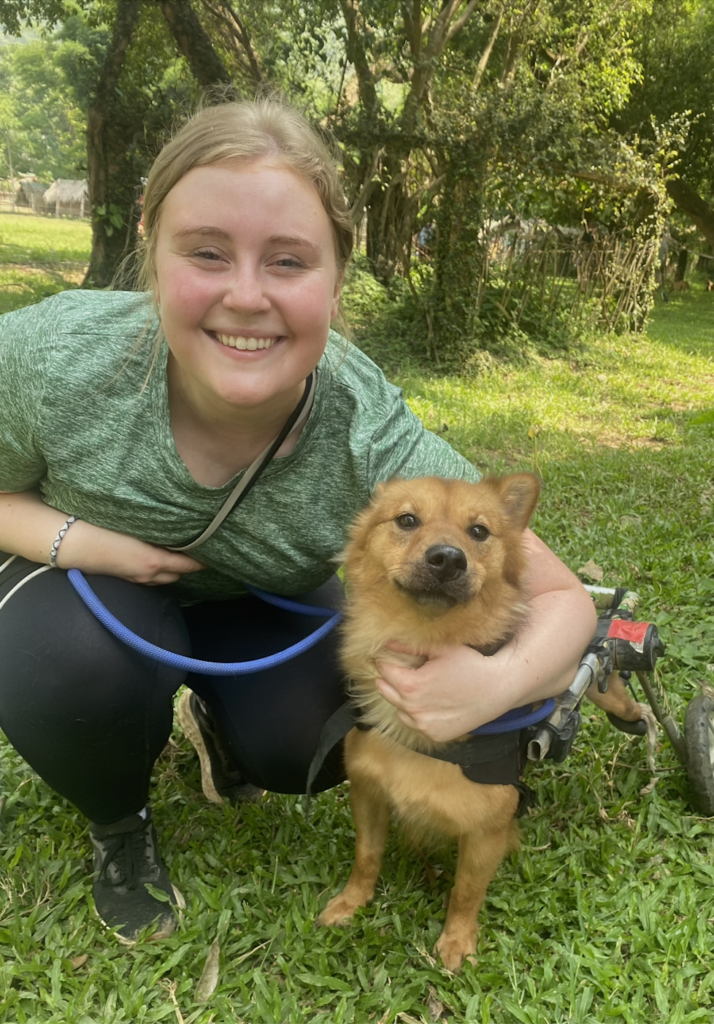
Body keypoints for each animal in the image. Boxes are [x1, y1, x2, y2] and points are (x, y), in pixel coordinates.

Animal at [317, 471, 647, 966]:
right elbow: (366, 856)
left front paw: (456, 943)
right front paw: (352, 902)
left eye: (479, 531)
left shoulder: (488, 830)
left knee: (620, 690)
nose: (447, 558)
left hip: (594, 675)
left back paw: (644, 724)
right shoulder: (368, 793)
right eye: (406, 520)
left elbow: (466, 891)